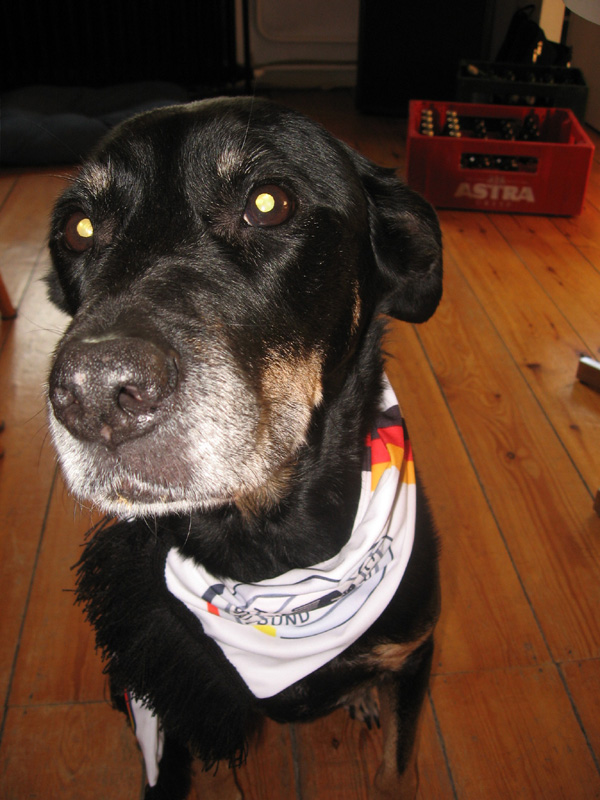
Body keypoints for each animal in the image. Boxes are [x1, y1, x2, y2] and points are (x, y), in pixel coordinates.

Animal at [46, 97, 443, 799]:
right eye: (79, 228)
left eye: (268, 202)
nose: (95, 392)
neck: (269, 555)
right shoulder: (167, 693)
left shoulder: (412, 654)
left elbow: (398, 769)